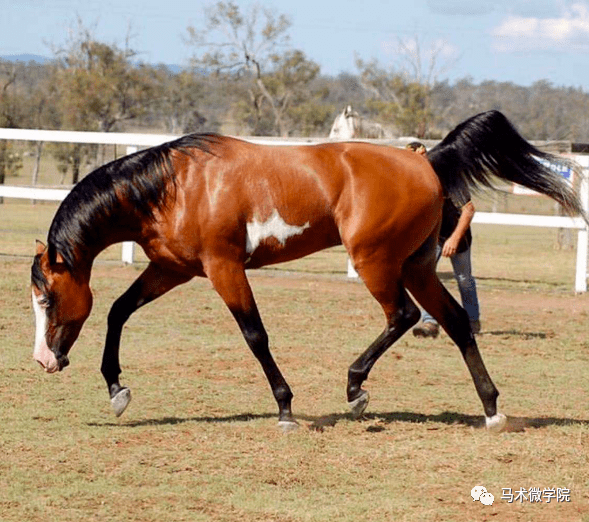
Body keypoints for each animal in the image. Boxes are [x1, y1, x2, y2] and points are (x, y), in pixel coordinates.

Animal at [31, 110, 584, 430]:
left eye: (47, 298)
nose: (44, 360)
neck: (175, 186)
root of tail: (425, 160)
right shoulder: (172, 269)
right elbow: (118, 311)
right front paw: (117, 391)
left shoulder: (224, 268)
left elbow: (255, 335)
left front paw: (286, 409)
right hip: (416, 266)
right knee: (453, 320)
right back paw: (492, 410)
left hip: (376, 262)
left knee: (404, 316)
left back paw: (356, 389)